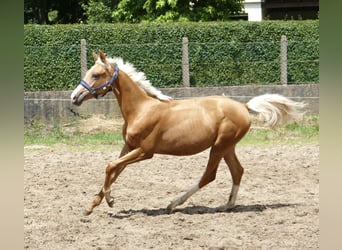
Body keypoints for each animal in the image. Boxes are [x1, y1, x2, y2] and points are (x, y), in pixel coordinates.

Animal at [71, 50, 304, 215]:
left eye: (96, 74)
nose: (74, 97)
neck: (141, 109)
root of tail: (244, 106)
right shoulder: (129, 147)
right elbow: (115, 170)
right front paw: (91, 206)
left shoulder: (145, 151)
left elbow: (110, 166)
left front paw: (110, 200)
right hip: (227, 146)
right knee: (237, 171)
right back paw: (226, 205)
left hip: (219, 146)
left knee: (209, 175)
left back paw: (173, 204)